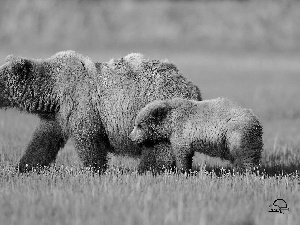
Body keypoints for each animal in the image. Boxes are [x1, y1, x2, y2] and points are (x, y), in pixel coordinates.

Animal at [0, 50, 202, 172]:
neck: (54, 91)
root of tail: (192, 86)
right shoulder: (57, 116)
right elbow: (43, 141)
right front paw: (23, 166)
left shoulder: (82, 105)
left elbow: (88, 140)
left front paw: (94, 169)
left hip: (157, 110)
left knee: (159, 147)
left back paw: (146, 170)